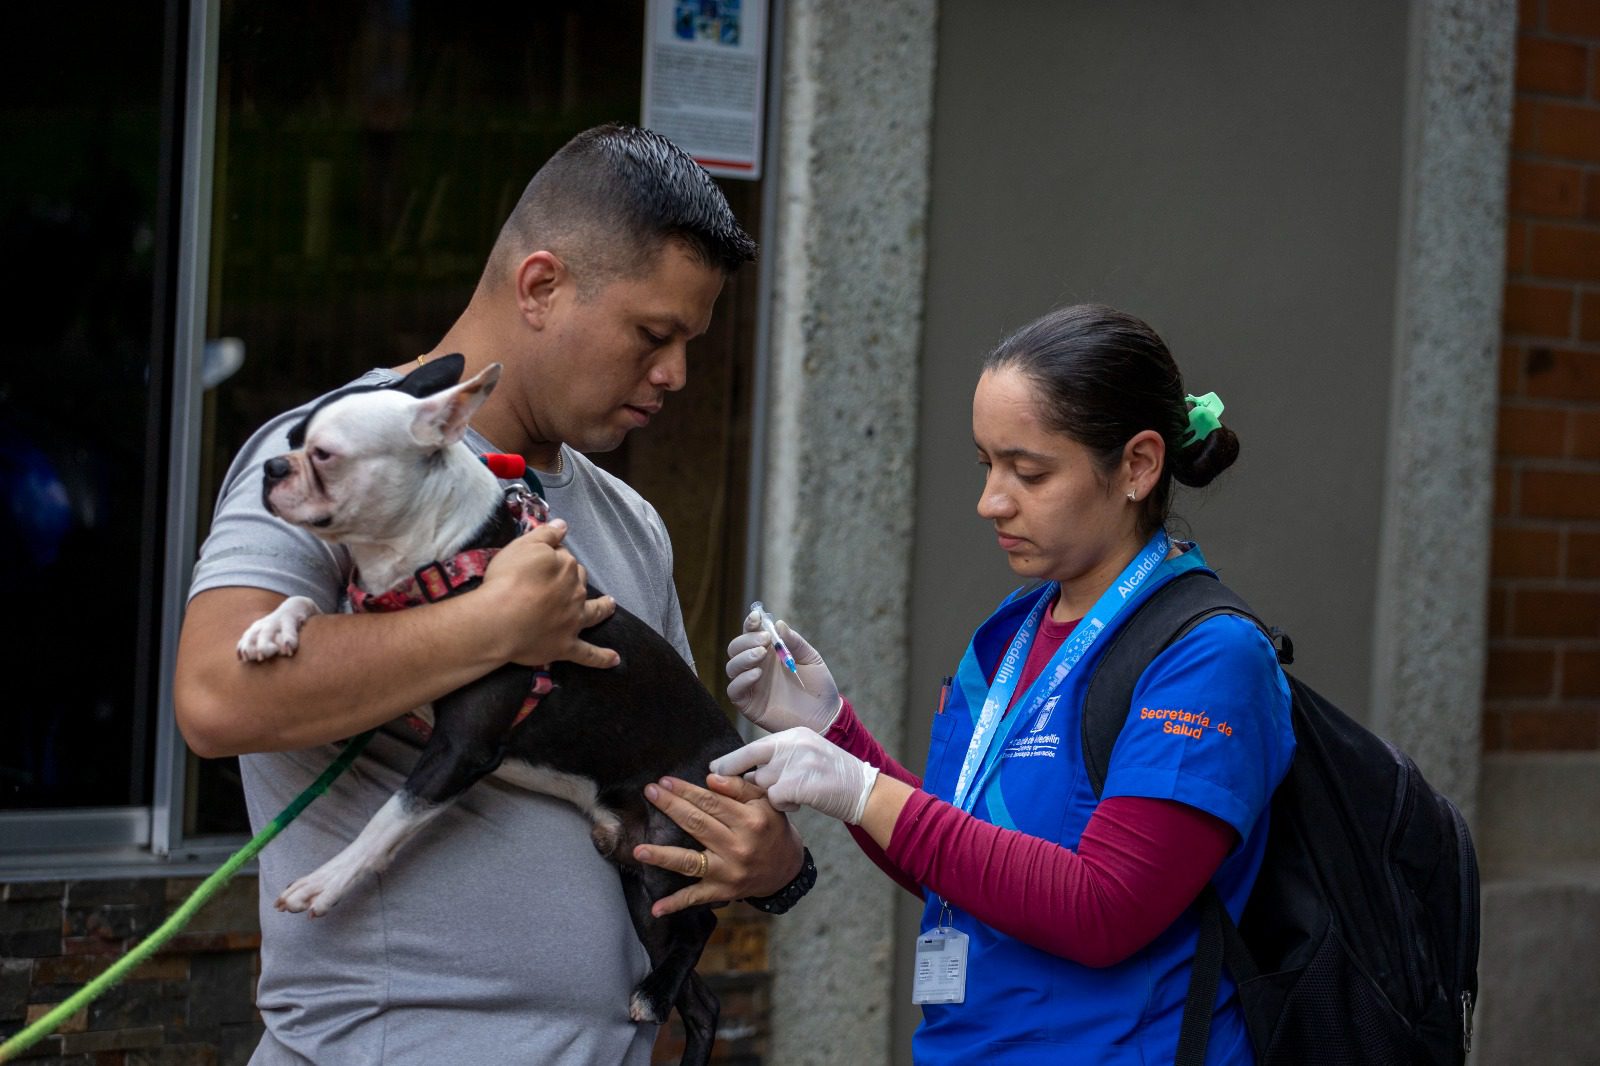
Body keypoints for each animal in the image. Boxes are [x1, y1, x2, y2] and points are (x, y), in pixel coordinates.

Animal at [235, 356, 742, 1062]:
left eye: (325, 455)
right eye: (288, 441)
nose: (272, 468)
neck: (441, 560)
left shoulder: (461, 747)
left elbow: (391, 817)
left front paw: (329, 881)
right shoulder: (378, 675)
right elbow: (316, 609)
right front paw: (273, 626)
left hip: (669, 847)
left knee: (704, 925)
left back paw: (652, 992)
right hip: (639, 879)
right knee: (705, 996)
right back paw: (666, 1001)